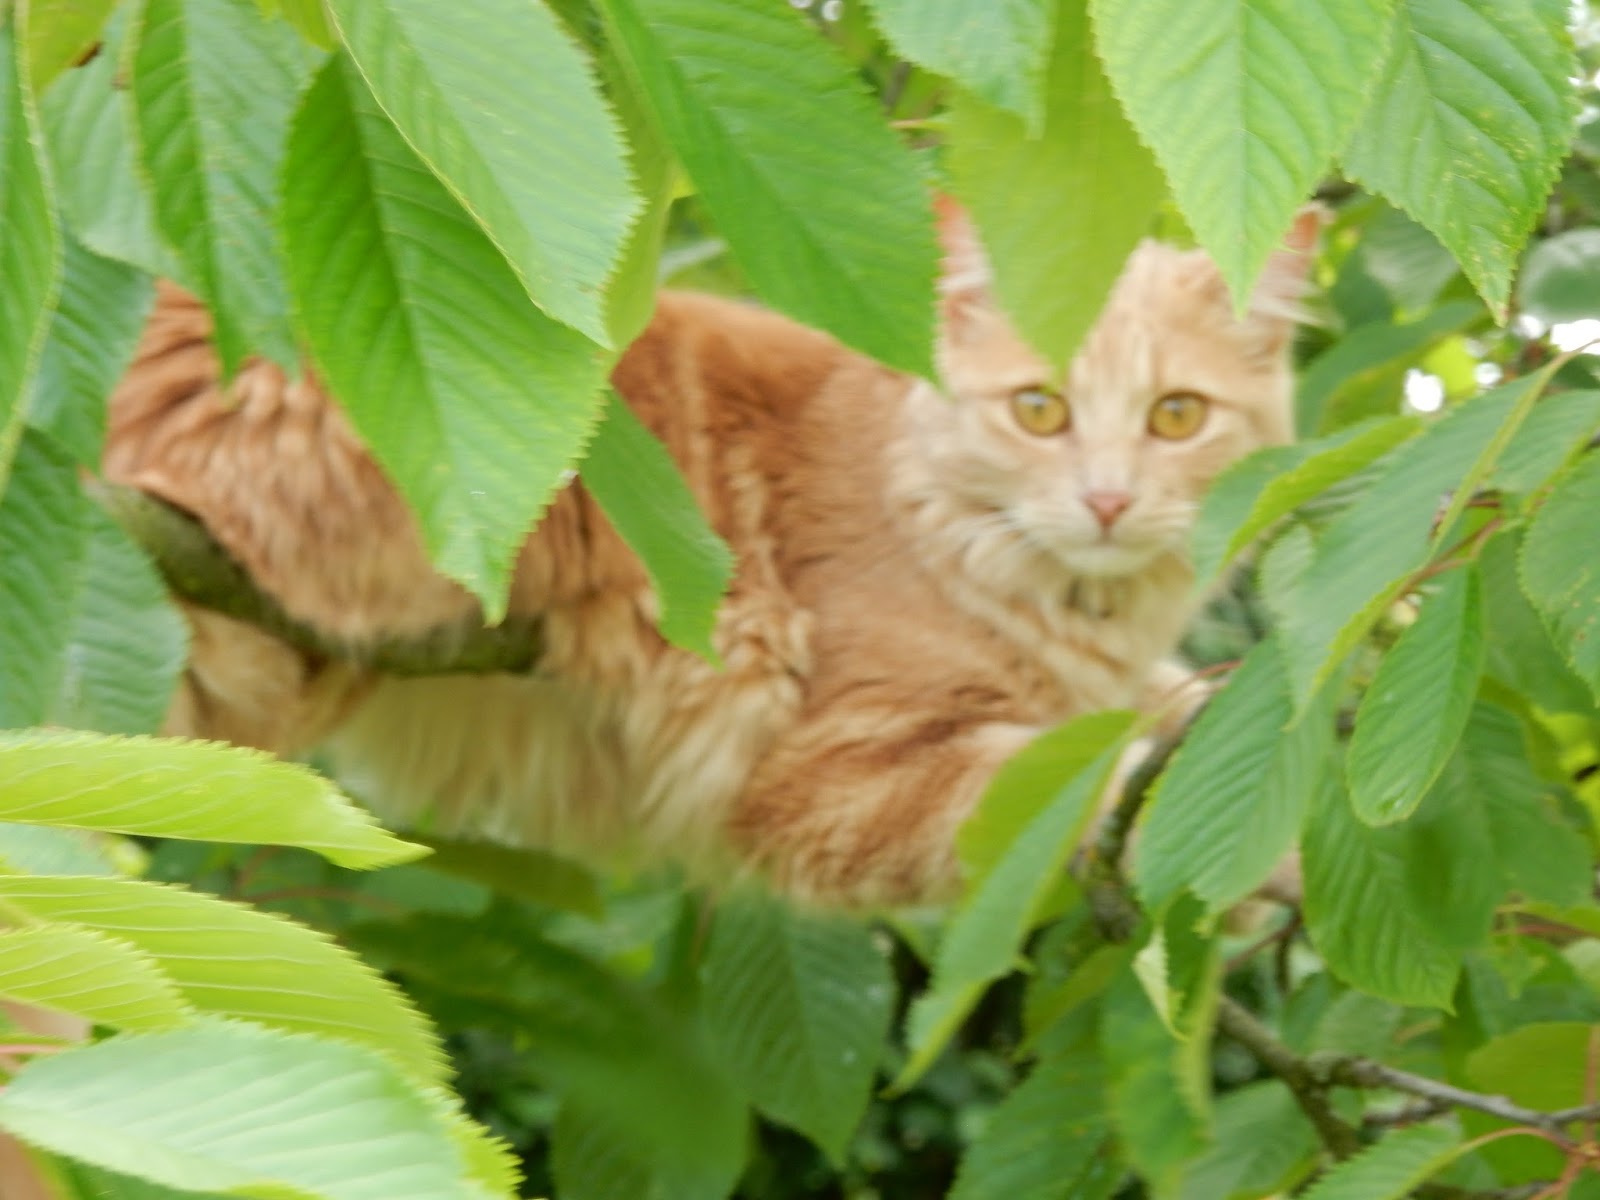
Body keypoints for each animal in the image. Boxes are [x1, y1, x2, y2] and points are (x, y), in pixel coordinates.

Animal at [102, 202, 1316, 907]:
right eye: (1039, 410)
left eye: (1175, 417)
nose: (1107, 499)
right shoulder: (830, 774)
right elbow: (1089, 774)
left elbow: (1177, 706)